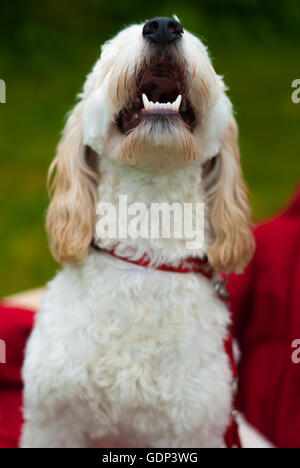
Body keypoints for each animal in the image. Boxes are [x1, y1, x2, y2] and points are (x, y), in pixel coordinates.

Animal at [21, 16, 255, 448]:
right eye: (111, 50)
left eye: (202, 50)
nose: (163, 26)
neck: (145, 250)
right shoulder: (53, 423)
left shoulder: (191, 430)